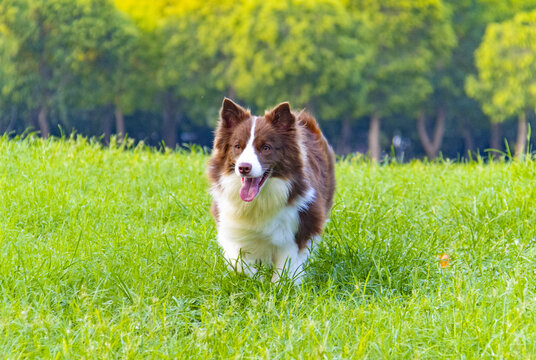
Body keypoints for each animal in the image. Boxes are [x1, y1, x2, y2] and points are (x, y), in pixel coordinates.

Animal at [208, 99, 336, 284]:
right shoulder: (228, 220)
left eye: (266, 147)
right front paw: (256, 281)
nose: (244, 167)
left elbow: (287, 264)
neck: (259, 200)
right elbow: (239, 261)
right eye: (237, 146)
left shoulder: (300, 223)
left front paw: (280, 286)